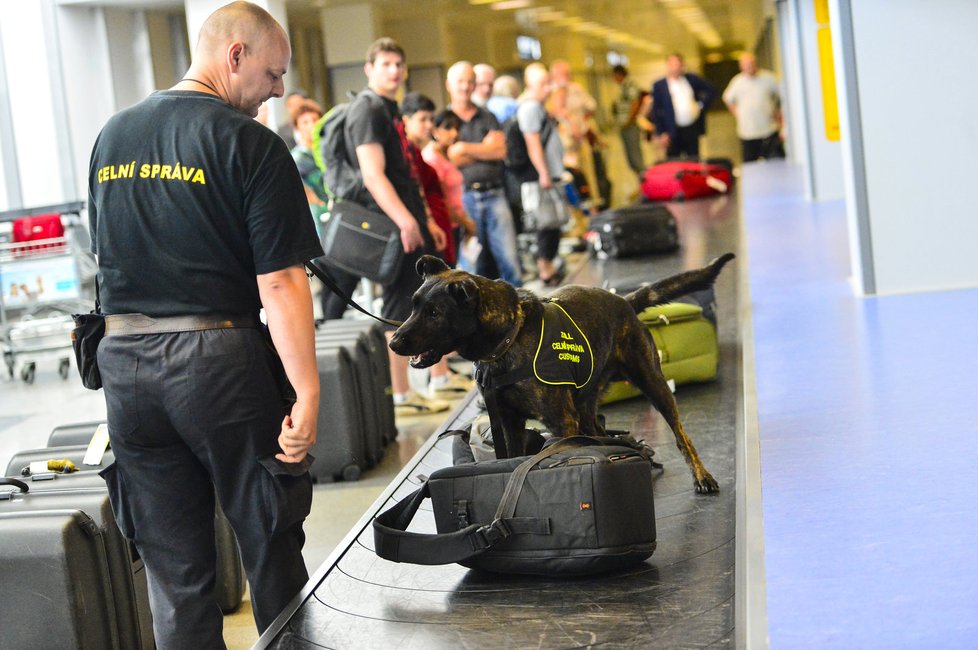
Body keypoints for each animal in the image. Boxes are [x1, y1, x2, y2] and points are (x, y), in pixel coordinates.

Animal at [388, 253, 732, 492]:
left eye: (434, 313)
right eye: (414, 305)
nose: (393, 342)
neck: (509, 337)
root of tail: (624, 301)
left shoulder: (560, 421)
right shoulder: (508, 421)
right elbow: (509, 459)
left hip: (652, 383)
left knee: (681, 435)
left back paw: (701, 475)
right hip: (586, 406)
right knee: (600, 431)